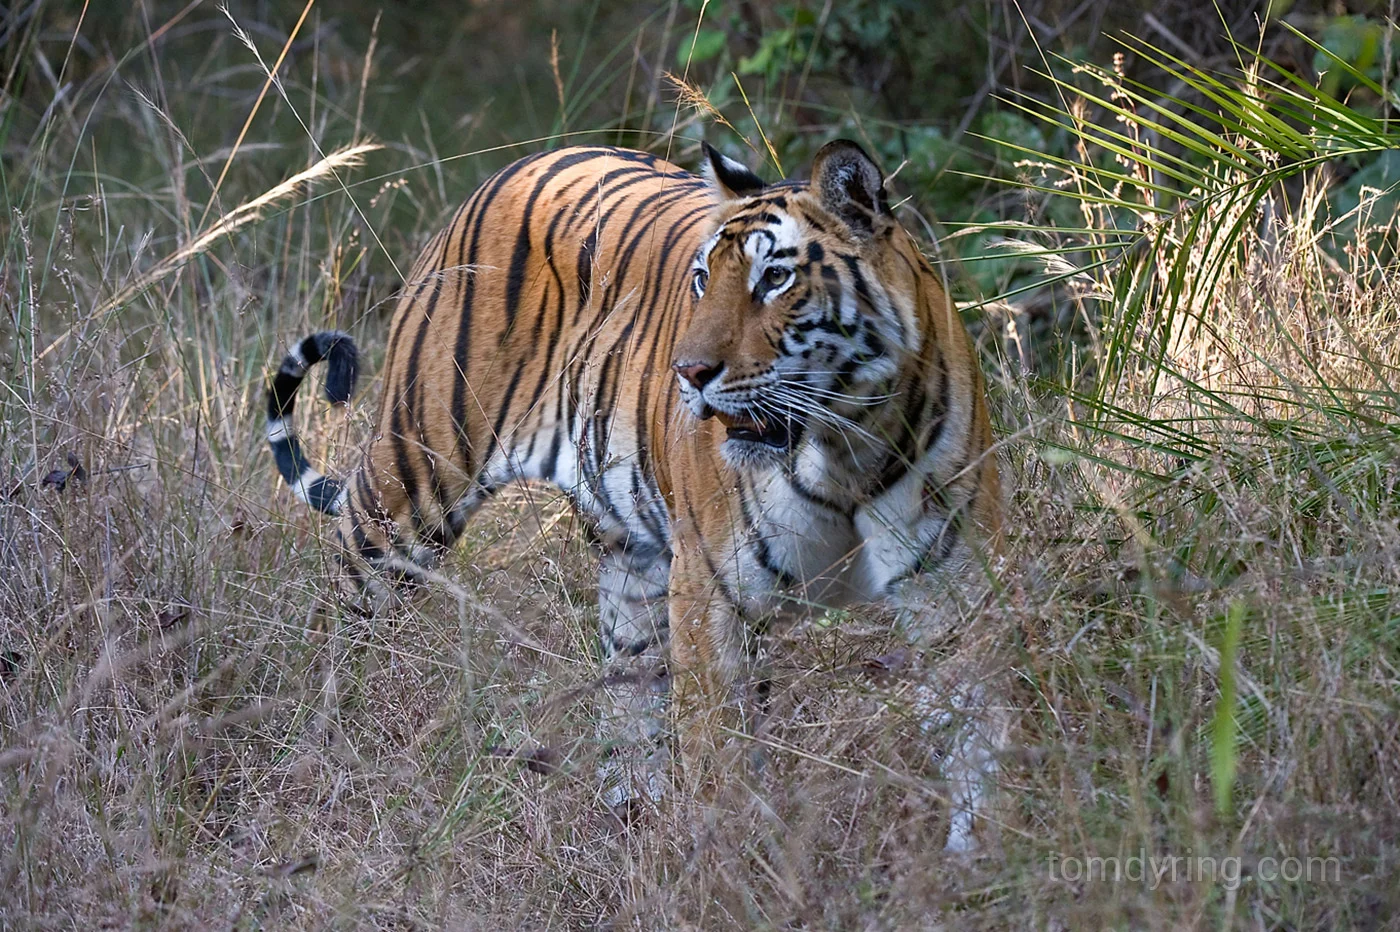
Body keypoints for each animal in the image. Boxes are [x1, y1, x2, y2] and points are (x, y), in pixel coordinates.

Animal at [266, 140, 1007, 851]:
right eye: (704, 279)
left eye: (775, 278)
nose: (691, 371)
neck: (844, 444)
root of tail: (514, 166)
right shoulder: (712, 590)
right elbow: (718, 756)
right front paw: (731, 867)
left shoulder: (950, 580)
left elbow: (979, 725)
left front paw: (984, 856)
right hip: (414, 478)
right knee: (341, 607)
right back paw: (310, 755)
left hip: (634, 569)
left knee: (629, 699)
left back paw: (631, 825)